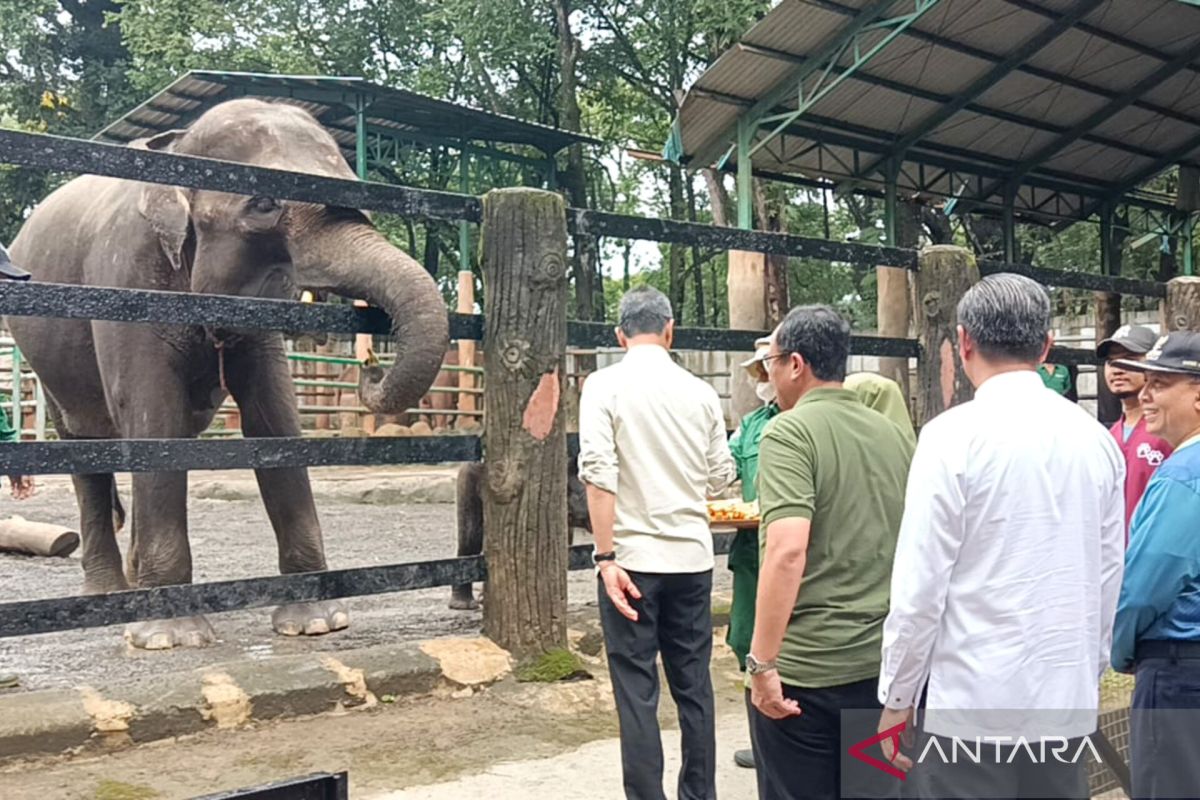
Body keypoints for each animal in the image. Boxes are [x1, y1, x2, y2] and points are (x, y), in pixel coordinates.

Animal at [8, 100, 451, 652]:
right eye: (262, 204)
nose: (370, 364)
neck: (179, 148)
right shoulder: (123, 279)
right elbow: (154, 419)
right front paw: (169, 638)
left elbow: (274, 419)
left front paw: (316, 623)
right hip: (50, 358)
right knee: (86, 446)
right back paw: (108, 599)